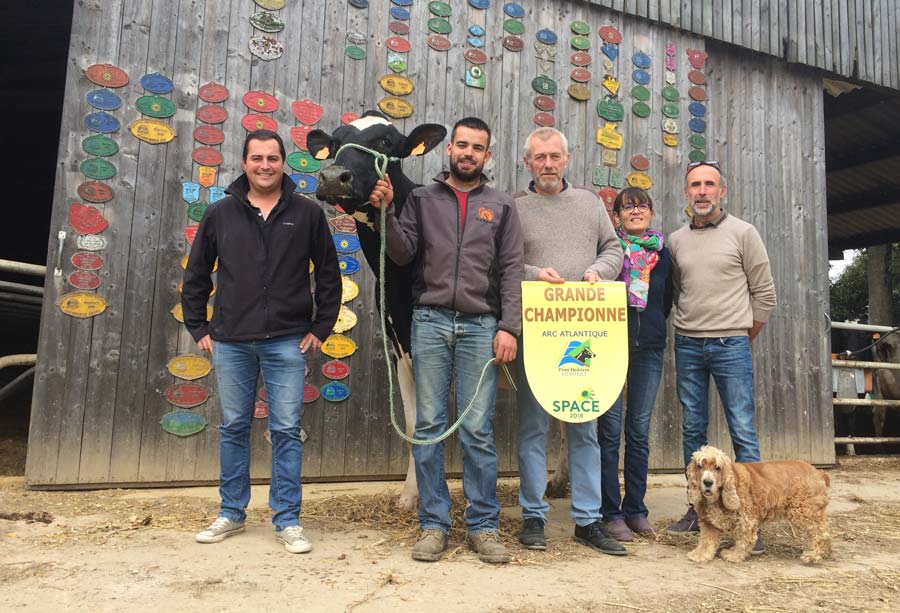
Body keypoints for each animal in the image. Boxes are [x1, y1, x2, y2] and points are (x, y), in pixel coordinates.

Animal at [310, 112, 446, 510]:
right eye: (335, 141)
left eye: (386, 141)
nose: (333, 176)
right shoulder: (399, 345)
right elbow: (416, 423)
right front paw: (411, 495)